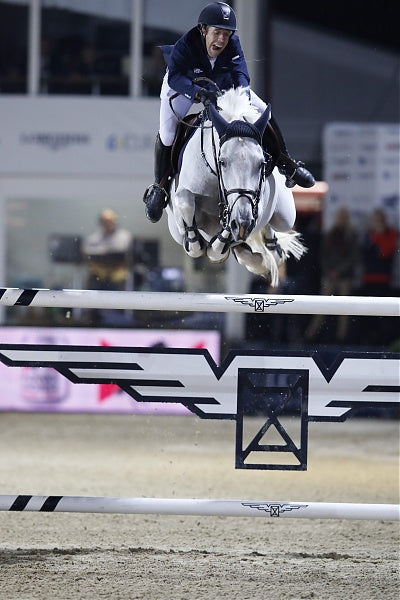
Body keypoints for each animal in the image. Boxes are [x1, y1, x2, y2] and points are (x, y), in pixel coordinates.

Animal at [166, 88, 306, 288]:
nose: (242, 222)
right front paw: (196, 242)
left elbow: (233, 228)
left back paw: (268, 251)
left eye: (262, 163)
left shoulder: (253, 208)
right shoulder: (180, 207)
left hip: (286, 217)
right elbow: (185, 201)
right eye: (222, 162)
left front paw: (221, 243)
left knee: (268, 242)